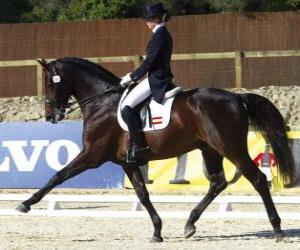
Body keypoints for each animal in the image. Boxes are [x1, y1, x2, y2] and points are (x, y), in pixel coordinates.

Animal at [15, 57, 294, 242]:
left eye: (50, 82)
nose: (50, 116)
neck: (102, 102)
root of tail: (237, 97)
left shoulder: (92, 155)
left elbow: (58, 176)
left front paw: (25, 204)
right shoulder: (127, 162)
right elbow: (142, 194)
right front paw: (157, 231)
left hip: (230, 147)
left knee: (257, 179)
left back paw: (277, 229)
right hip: (209, 149)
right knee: (217, 182)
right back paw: (189, 224)